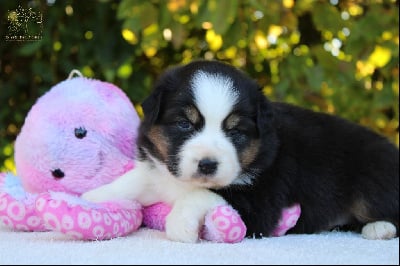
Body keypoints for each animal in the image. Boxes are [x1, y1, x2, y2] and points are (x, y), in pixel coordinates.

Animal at [83, 59, 398, 241]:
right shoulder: (159, 170)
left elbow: (202, 195)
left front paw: (181, 225)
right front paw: (91, 197)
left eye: (235, 131)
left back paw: (379, 228)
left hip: (373, 172)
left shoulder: (260, 200)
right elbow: (133, 181)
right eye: (184, 124)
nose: (207, 164)